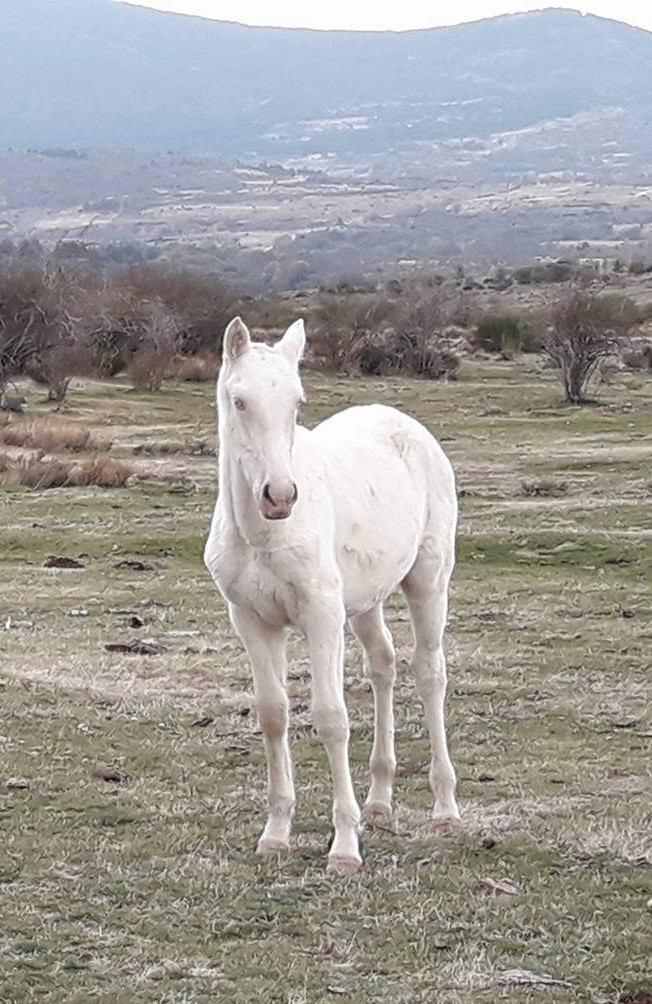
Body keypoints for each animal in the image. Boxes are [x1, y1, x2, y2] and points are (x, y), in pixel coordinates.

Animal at [202, 317, 458, 875]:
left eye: (296, 402)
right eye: (239, 401)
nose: (279, 496)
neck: (263, 536)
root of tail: (409, 426)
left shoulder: (320, 616)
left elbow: (331, 718)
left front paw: (344, 845)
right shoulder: (251, 620)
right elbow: (273, 714)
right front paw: (276, 833)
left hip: (428, 582)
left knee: (429, 673)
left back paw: (445, 806)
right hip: (364, 601)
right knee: (383, 664)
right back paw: (379, 800)